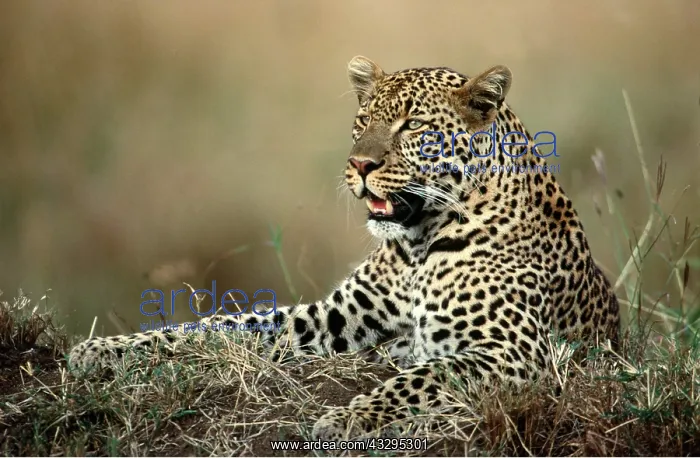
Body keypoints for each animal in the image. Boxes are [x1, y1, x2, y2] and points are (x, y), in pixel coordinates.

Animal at [68, 56, 620, 442]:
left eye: (413, 125)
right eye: (362, 119)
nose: (359, 165)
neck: (417, 246)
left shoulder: (517, 350)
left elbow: (422, 377)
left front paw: (348, 419)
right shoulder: (337, 315)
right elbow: (218, 327)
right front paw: (99, 350)